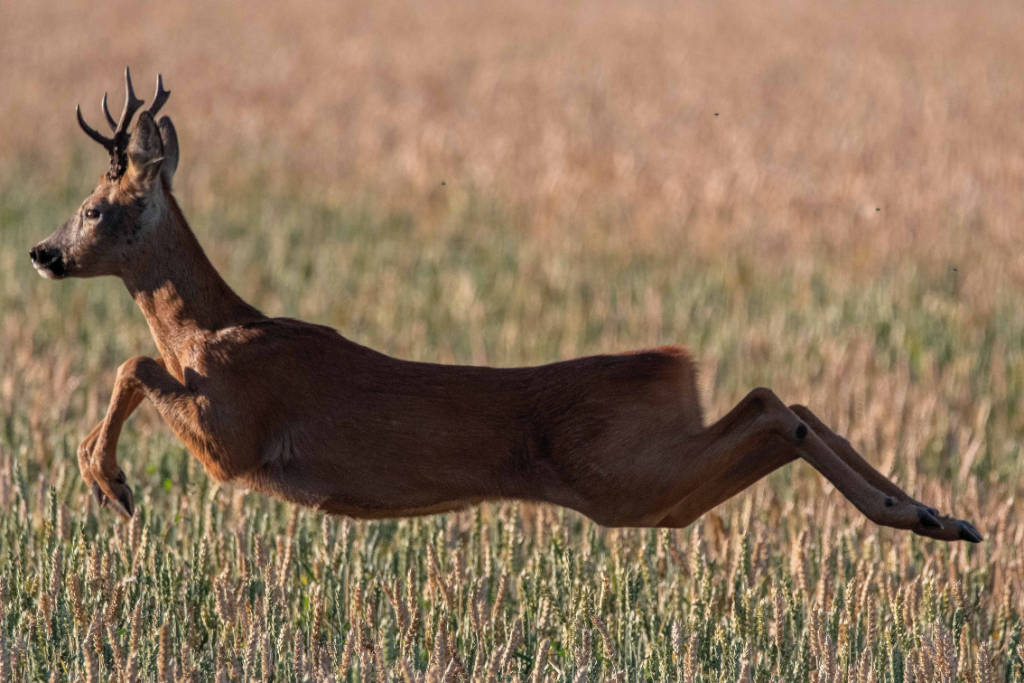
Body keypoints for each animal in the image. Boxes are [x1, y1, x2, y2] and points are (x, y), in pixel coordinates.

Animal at [28, 70, 978, 544]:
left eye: (96, 207)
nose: (42, 253)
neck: (212, 325)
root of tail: (670, 363)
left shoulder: (236, 436)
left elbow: (133, 361)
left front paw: (109, 482)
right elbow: (135, 362)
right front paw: (103, 479)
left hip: (624, 477)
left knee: (776, 410)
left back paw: (923, 517)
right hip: (644, 478)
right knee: (783, 400)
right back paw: (945, 517)